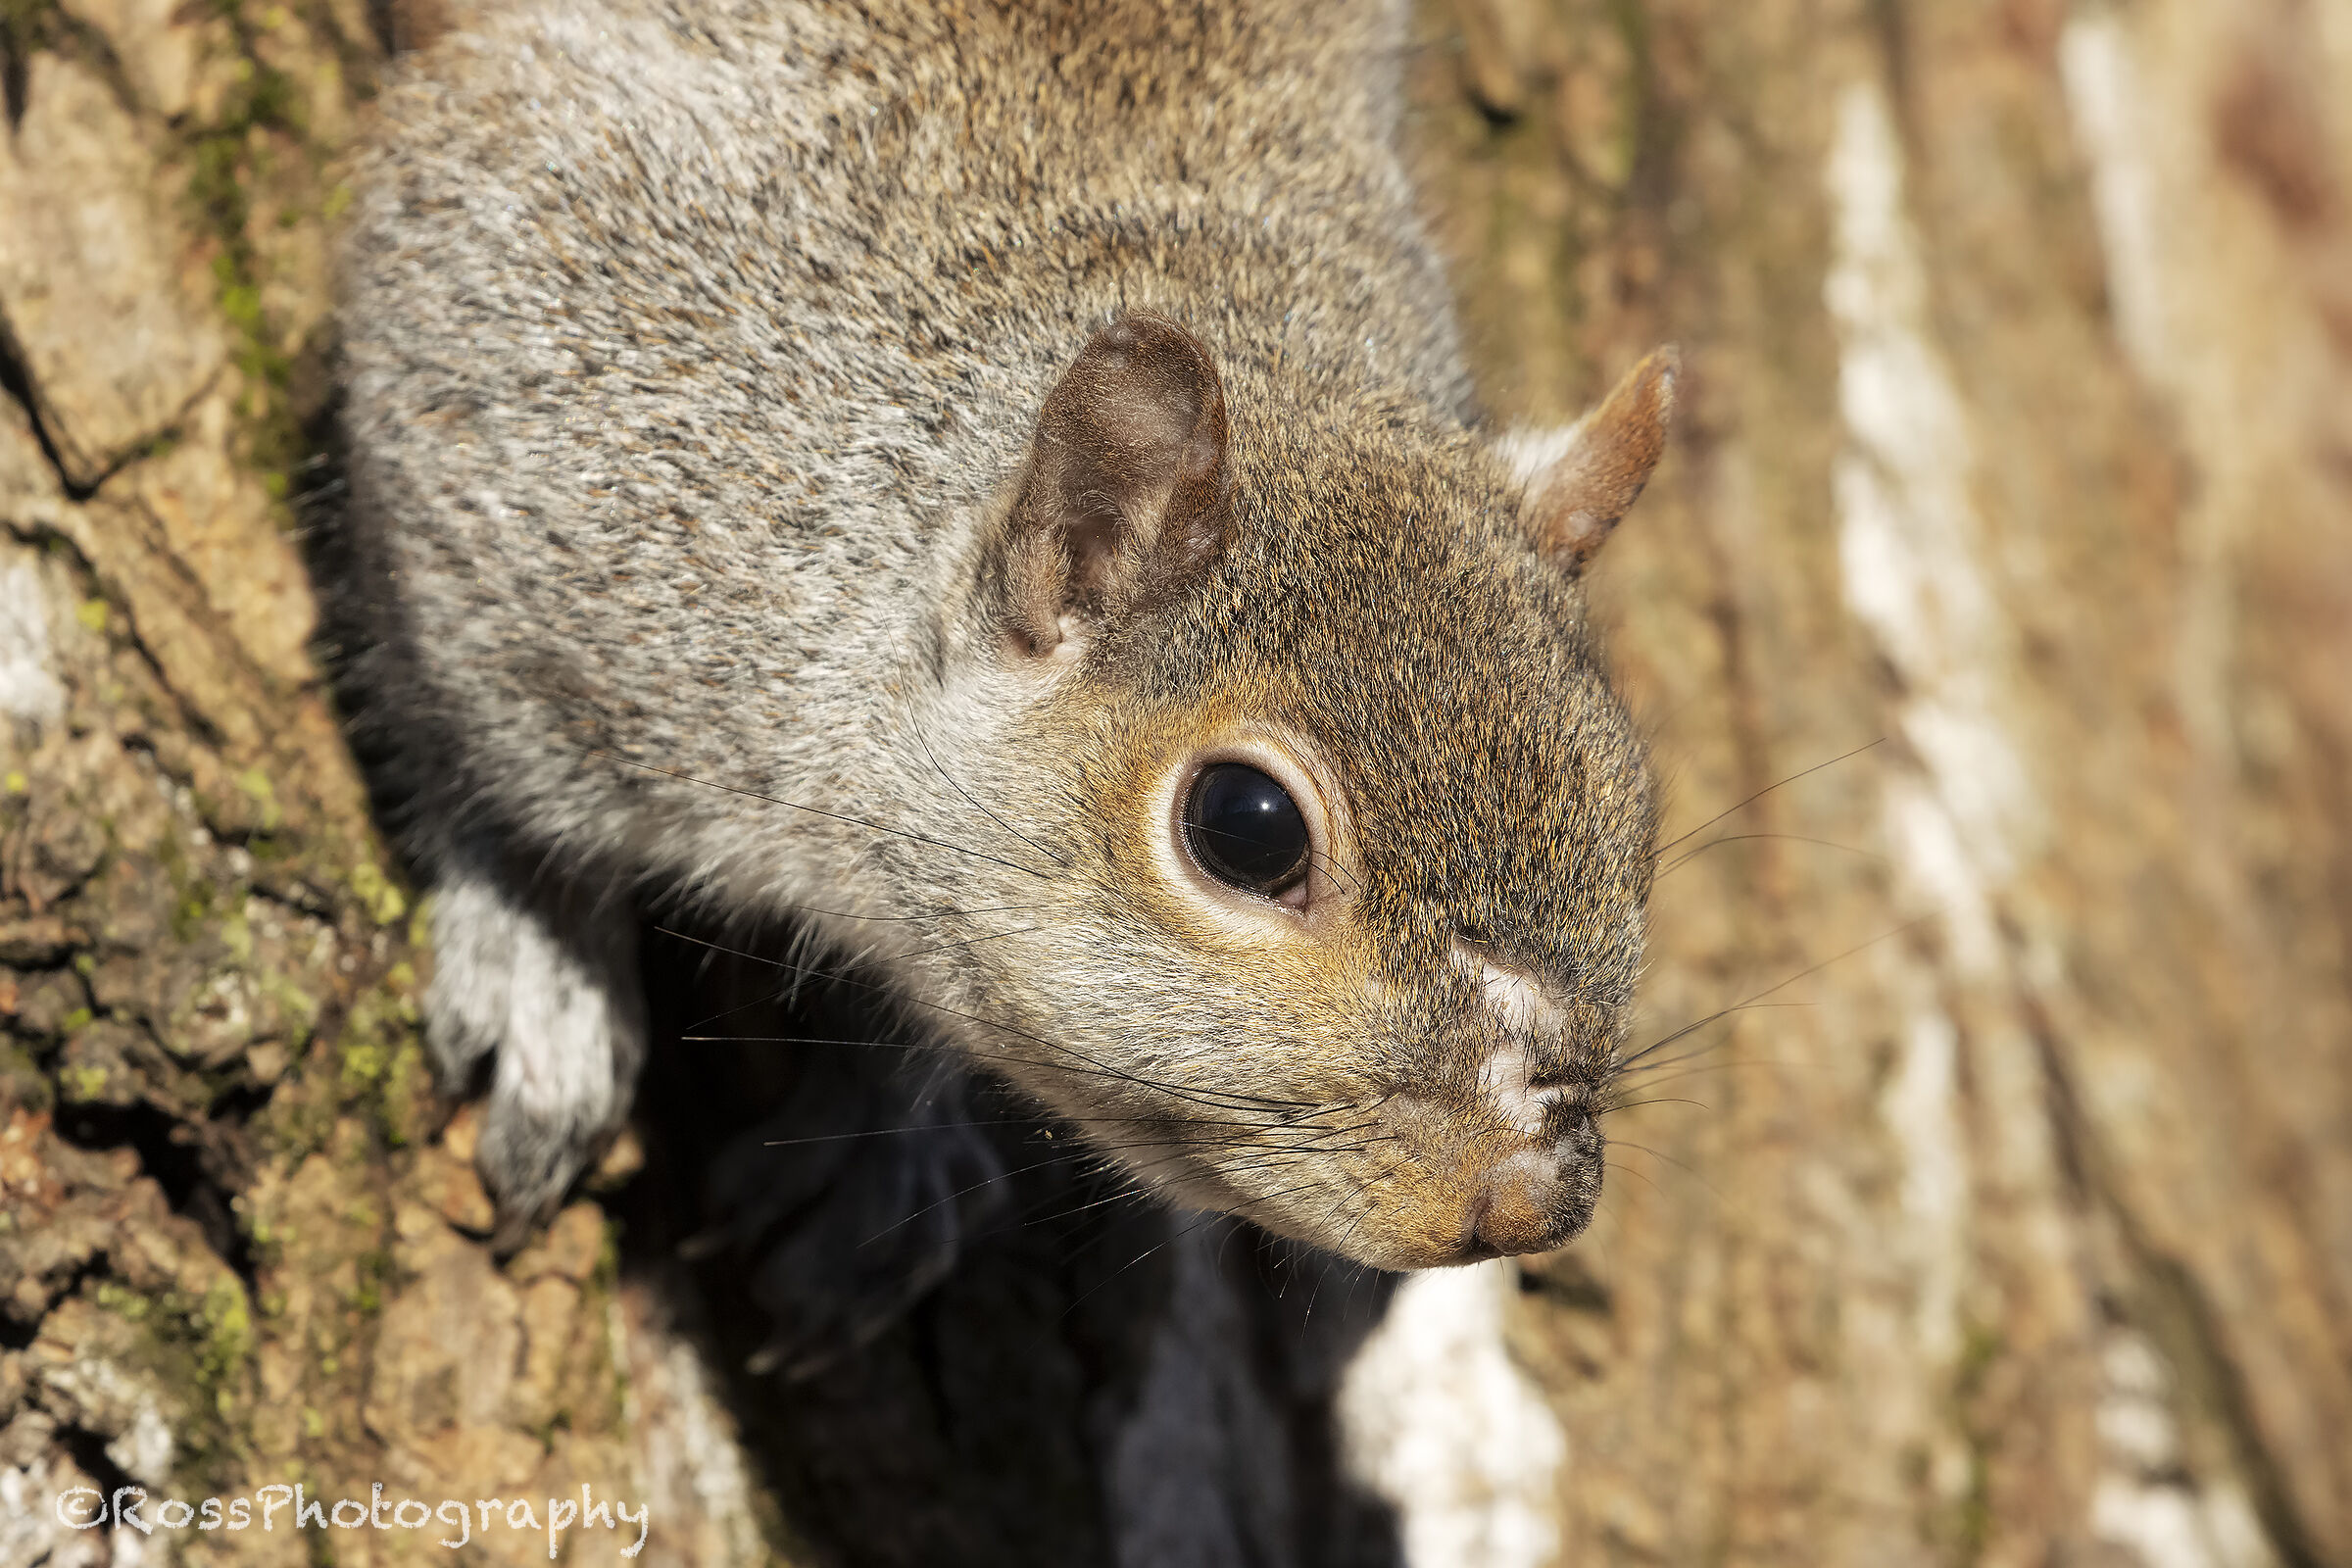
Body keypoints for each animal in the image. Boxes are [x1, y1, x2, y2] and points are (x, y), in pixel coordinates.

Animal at [327, 0, 1676, 1294]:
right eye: (1245, 828)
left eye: (1634, 812)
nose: (1532, 1197)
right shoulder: (515, 401)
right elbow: (468, 748)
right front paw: (537, 959)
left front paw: (884, 1146)